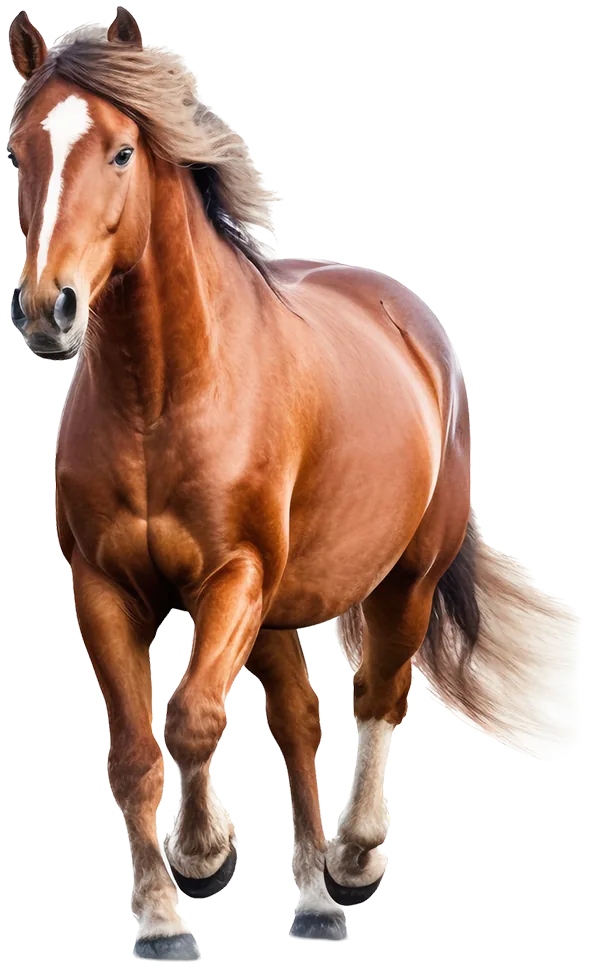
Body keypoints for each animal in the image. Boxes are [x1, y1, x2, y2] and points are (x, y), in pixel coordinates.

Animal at [8, 8, 583, 961]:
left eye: (122, 151)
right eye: (20, 152)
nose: (44, 307)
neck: (162, 395)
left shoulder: (235, 573)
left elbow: (193, 717)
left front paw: (200, 860)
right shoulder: (105, 585)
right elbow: (135, 747)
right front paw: (164, 906)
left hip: (404, 579)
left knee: (379, 695)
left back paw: (351, 858)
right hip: (281, 603)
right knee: (301, 718)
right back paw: (311, 895)